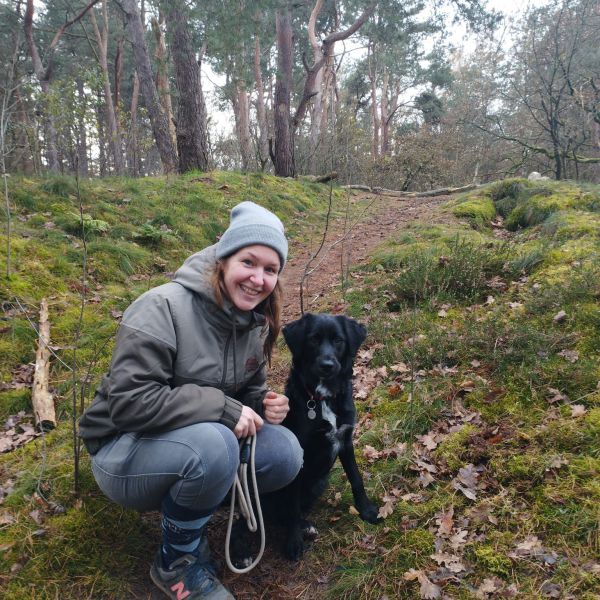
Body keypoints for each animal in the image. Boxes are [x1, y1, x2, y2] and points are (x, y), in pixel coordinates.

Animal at [270, 312, 380, 560]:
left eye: (338, 340)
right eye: (313, 339)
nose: (327, 366)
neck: (323, 398)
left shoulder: (345, 439)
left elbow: (356, 479)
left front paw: (366, 510)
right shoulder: (298, 456)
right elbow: (292, 506)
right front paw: (294, 542)